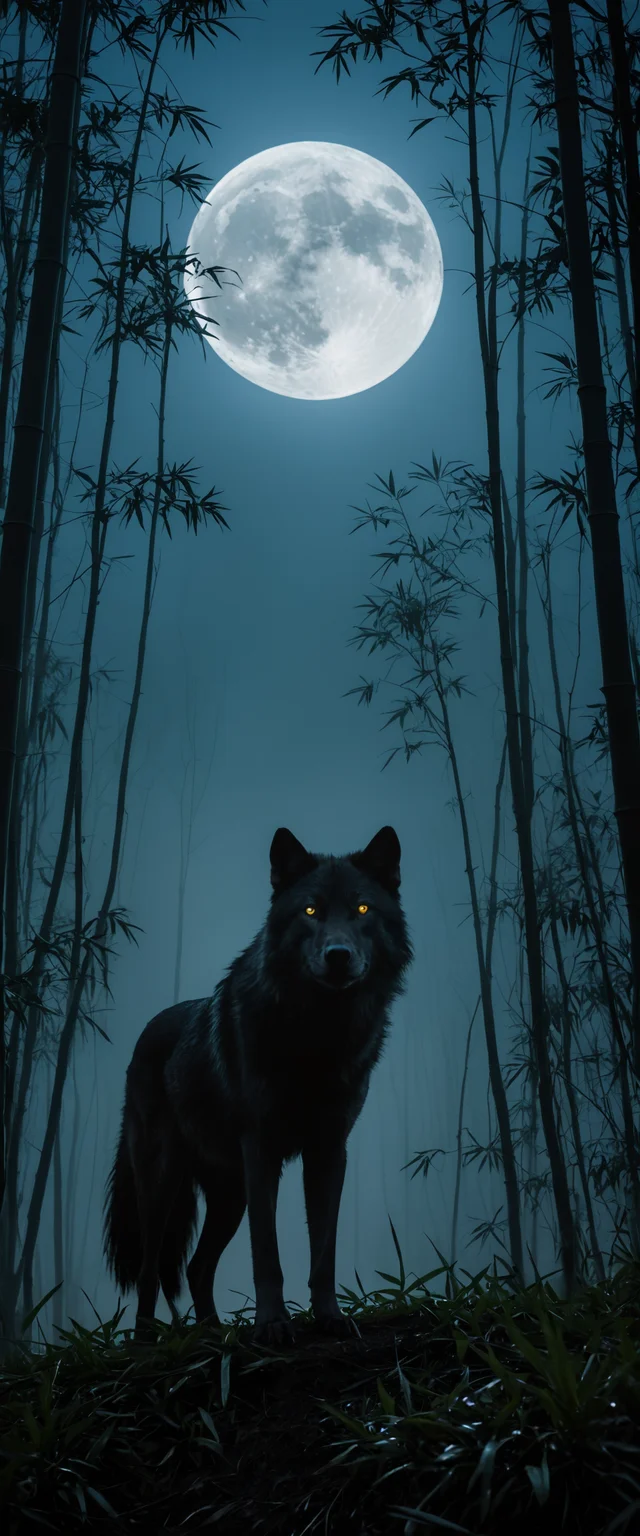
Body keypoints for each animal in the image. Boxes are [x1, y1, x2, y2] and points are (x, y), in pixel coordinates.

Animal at [104, 825, 412, 1345]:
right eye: (310, 911)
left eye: (362, 909)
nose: (338, 956)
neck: (317, 1037)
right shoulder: (261, 1149)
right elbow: (267, 1252)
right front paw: (272, 1324)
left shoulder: (329, 1150)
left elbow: (324, 1251)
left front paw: (328, 1318)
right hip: (165, 1185)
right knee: (151, 1269)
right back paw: (146, 1340)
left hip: (231, 1195)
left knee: (197, 1268)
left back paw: (212, 1333)